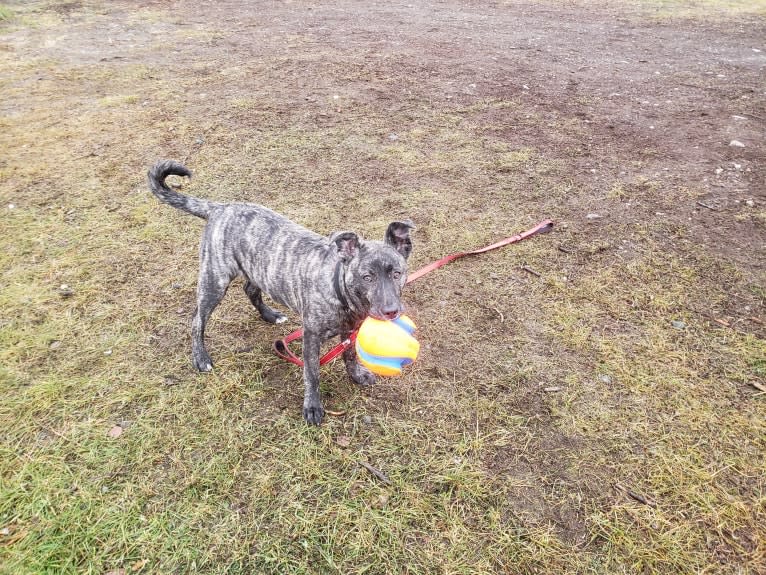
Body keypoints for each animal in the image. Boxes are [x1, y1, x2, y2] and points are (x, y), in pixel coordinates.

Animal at [148, 160, 416, 426]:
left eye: (397, 273)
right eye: (367, 277)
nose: (391, 311)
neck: (339, 289)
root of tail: (221, 207)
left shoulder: (351, 331)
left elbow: (349, 354)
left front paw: (356, 374)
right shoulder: (311, 337)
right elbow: (312, 373)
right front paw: (312, 406)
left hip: (257, 269)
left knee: (250, 290)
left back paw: (270, 315)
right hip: (215, 281)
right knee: (197, 319)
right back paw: (201, 357)